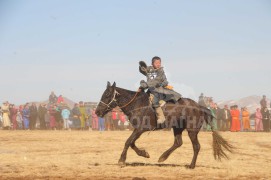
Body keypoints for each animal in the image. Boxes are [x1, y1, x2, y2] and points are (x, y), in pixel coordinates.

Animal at [95, 81, 234, 169]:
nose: (97, 112)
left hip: (192, 130)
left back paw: (191, 165)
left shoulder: (140, 129)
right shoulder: (138, 130)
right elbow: (132, 143)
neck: (137, 104)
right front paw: (144, 154)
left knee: (196, 146)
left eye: (107, 95)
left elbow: (128, 142)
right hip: (177, 128)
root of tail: (199, 106)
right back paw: (162, 157)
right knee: (178, 142)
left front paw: (122, 160)